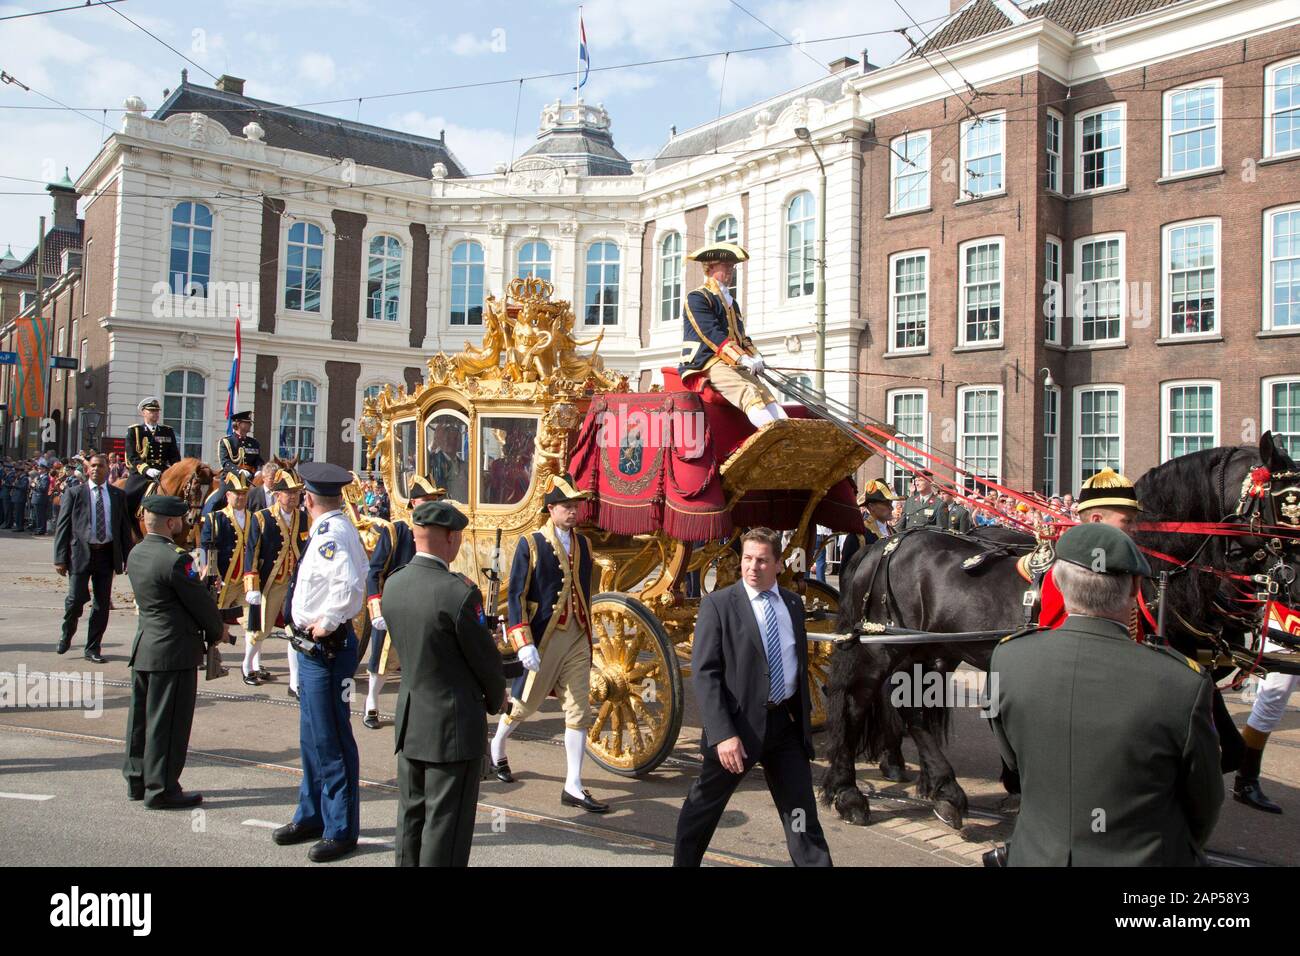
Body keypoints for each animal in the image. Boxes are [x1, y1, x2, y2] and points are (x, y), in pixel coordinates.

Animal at [821, 434, 1300, 832]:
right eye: (1289, 500)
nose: (1290, 584)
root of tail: (885, 544)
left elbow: (1220, 750)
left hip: (930, 650)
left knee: (914, 711)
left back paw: (944, 792)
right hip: (881, 648)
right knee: (854, 701)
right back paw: (848, 792)